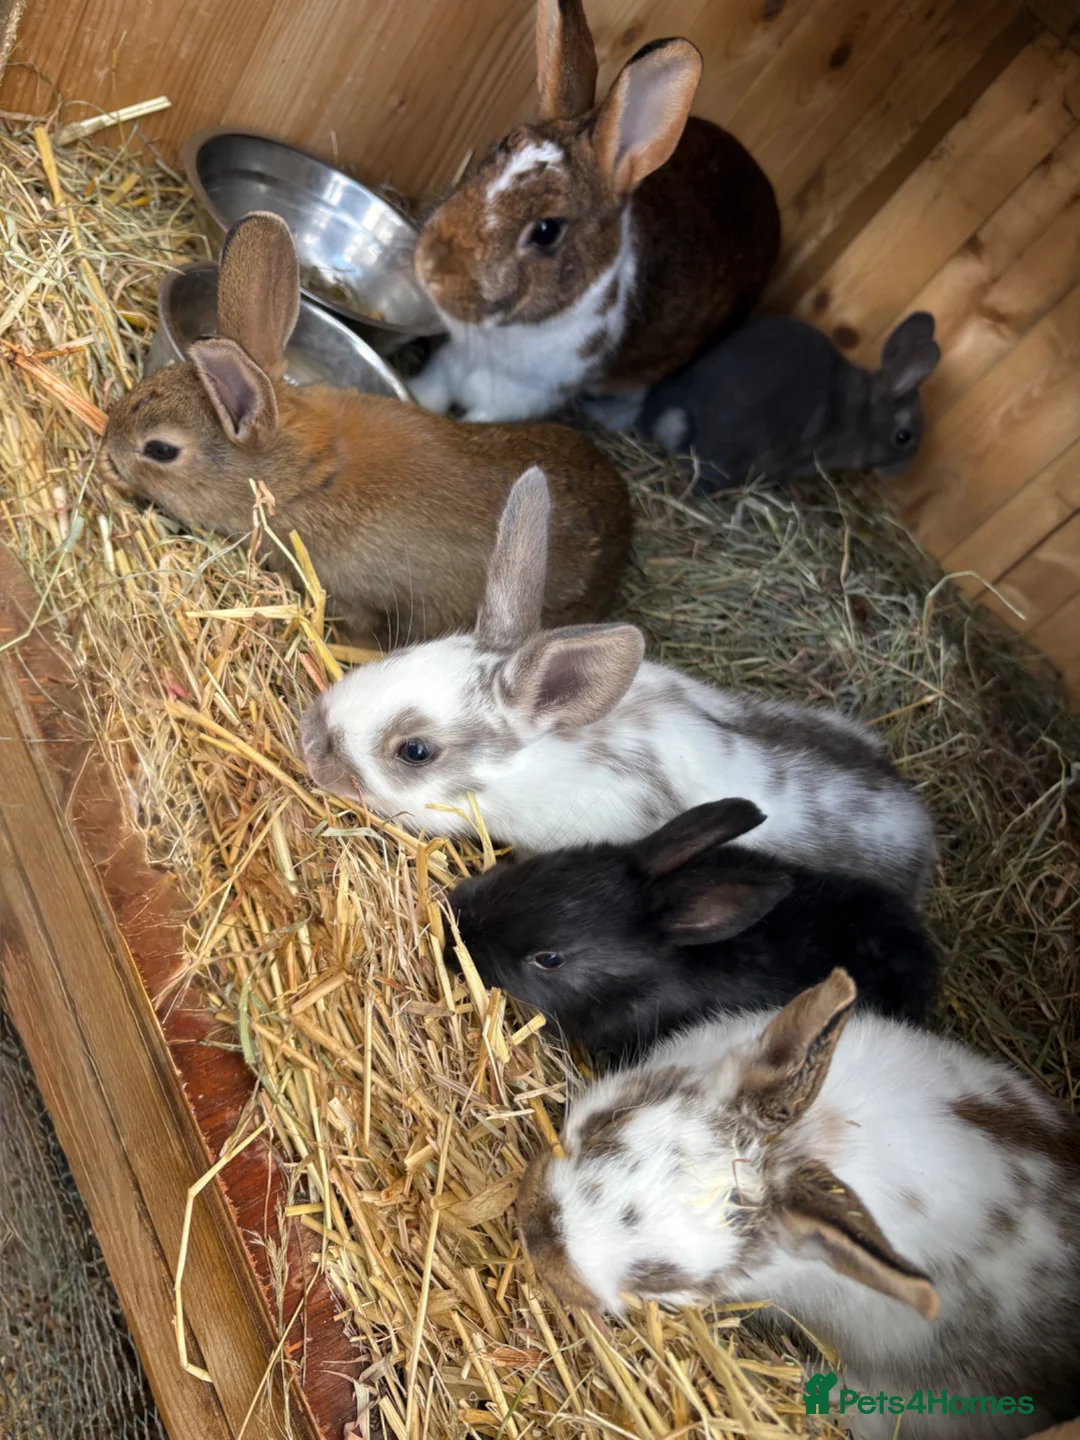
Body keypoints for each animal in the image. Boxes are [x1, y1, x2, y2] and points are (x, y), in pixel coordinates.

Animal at [408, 0, 780, 423]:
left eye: (546, 230)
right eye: (493, 152)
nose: (429, 264)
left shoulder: (520, 397)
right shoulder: (453, 359)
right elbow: (434, 387)